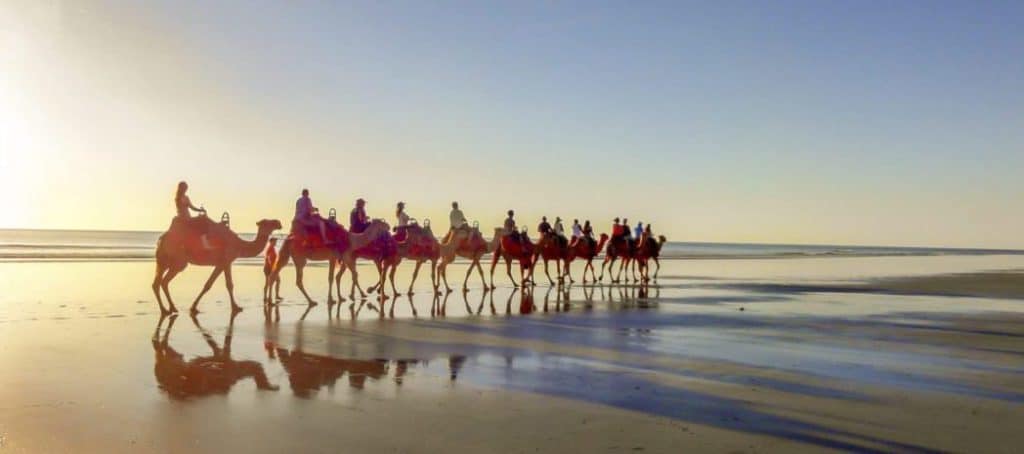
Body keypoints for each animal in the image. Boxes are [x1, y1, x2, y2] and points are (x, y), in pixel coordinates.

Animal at [151, 215, 282, 313]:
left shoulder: (220, 264)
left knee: (159, 282)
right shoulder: (226, 261)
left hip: (164, 261)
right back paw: (165, 310)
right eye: (266, 222)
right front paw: (236, 307)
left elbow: (208, 285)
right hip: (178, 261)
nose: (278, 222)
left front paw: (193, 307)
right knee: (162, 281)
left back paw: (170, 308)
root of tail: (161, 238)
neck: (239, 245)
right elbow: (229, 285)